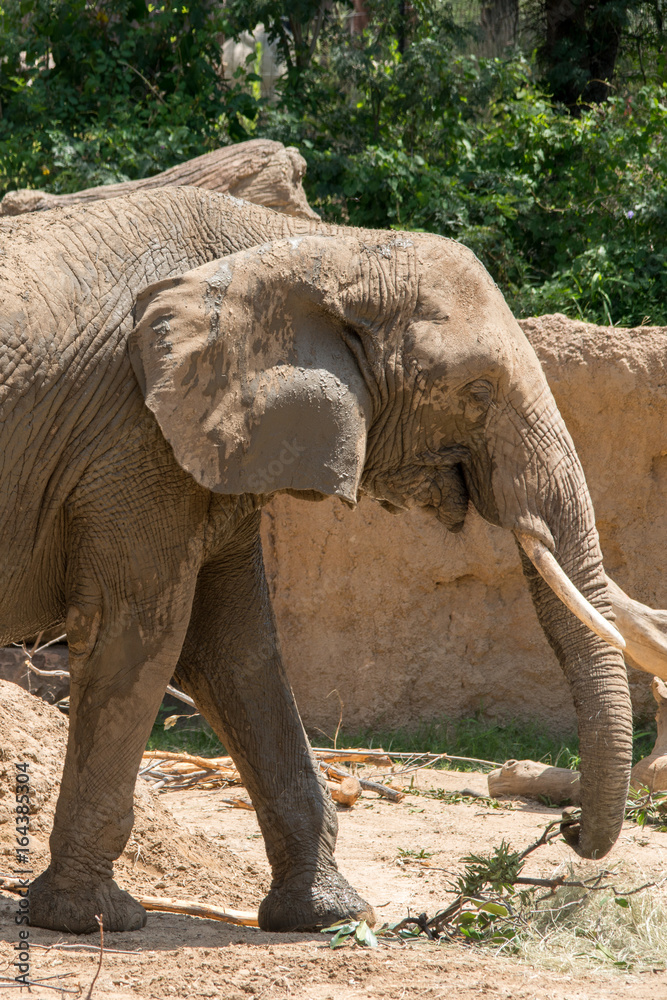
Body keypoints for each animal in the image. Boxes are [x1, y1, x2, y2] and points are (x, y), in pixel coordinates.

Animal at [0, 186, 632, 936]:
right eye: (477, 390)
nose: (565, 826)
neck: (315, 244)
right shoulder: (130, 440)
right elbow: (138, 634)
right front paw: (91, 919)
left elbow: (236, 651)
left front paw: (330, 915)